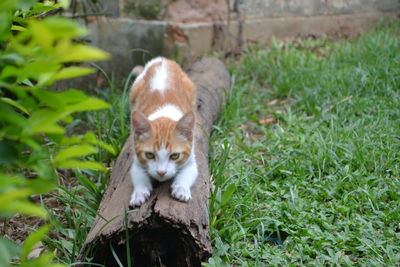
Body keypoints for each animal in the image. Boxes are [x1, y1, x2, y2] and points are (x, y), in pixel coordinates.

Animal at [130, 57, 198, 207]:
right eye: (149, 155)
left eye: (174, 156)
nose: (161, 172)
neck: (164, 114)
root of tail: (162, 60)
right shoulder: (136, 160)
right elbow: (138, 174)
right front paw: (139, 193)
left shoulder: (191, 158)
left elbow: (188, 173)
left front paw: (181, 189)